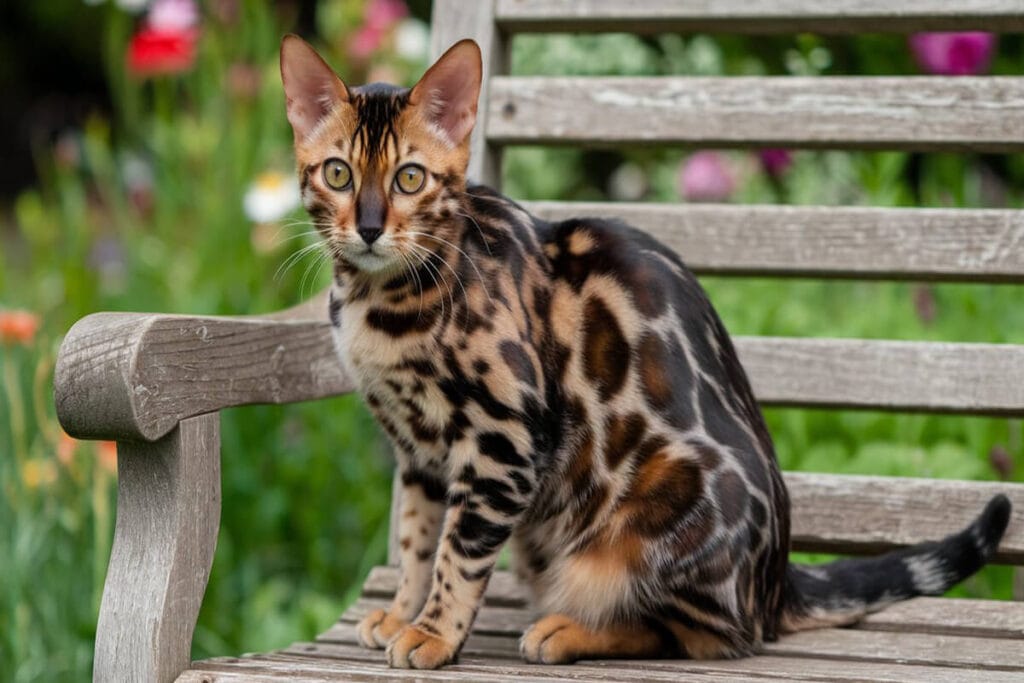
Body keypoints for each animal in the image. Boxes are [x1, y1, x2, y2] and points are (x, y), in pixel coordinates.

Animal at [278, 34, 1007, 671]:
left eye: (409, 178)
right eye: (339, 173)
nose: (369, 228)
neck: (386, 299)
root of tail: (775, 583)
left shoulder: (502, 440)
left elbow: (458, 551)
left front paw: (433, 633)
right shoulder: (420, 454)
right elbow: (415, 540)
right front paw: (403, 612)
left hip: (660, 511)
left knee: (705, 633)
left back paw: (569, 629)